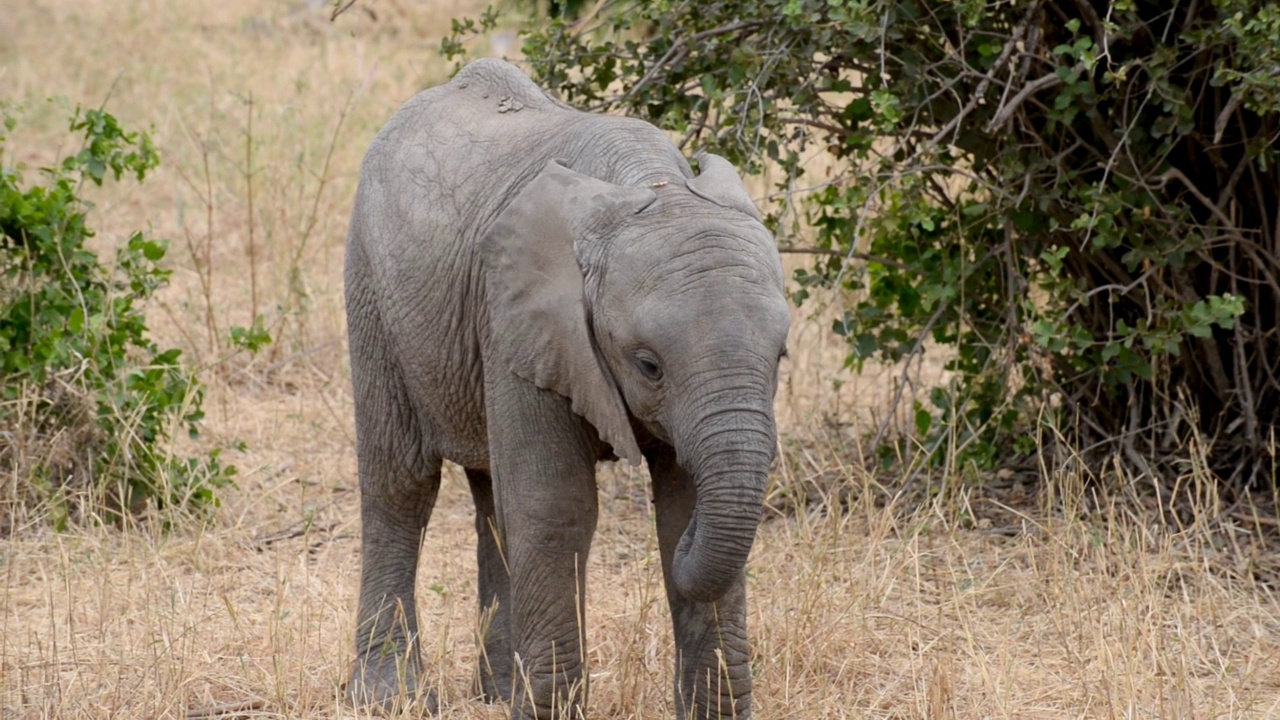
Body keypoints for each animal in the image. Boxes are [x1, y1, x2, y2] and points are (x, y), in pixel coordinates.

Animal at [350, 58, 788, 712]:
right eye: (648, 365)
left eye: (781, 356)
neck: (650, 186)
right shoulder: (518, 319)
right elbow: (554, 505)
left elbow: (680, 503)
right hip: (371, 285)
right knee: (400, 486)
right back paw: (388, 699)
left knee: (492, 502)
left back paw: (497, 696)